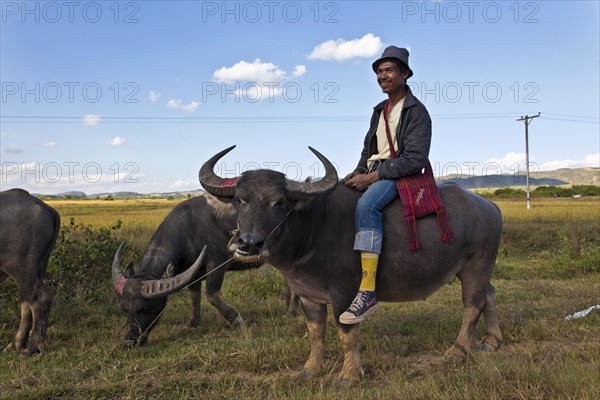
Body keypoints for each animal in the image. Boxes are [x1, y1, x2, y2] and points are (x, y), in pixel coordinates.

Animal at [0, 188, 60, 354]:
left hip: (21, 269)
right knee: (26, 302)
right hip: (36, 269)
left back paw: (32, 348)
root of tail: (38, 203)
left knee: (39, 299)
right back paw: (16, 344)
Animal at [111, 194, 262, 346]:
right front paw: (193, 322)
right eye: (124, 309)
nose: (130, 341)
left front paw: (236, 319)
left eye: (145, 308)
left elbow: (211, 295)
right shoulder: (192, 273)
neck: (190, 231)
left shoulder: (218, 264)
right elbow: (194, 296)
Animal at [199, 146, 504, 382]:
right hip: (477, 269)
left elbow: (346, 333)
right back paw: (492, 341)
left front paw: (349, 375)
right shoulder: (309, 295)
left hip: (476, 266)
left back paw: (458, 350)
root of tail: (490, 207)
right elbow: (316, 333)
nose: (249, 243)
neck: (312, 230)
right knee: (489, 294)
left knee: (472, 305)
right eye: (240, 200)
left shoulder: (344, 293)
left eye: (279, 202)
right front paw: (310, 369)